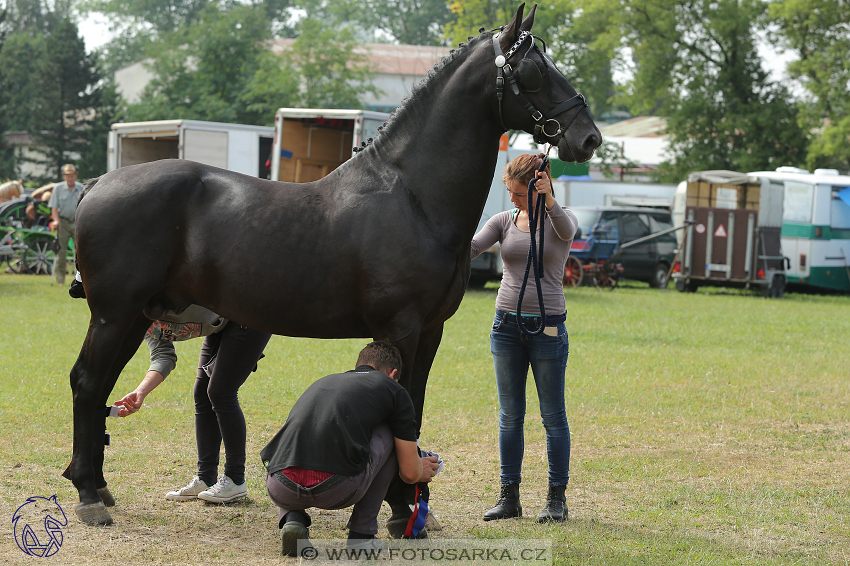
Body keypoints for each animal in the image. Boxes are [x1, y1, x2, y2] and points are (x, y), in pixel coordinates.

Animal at [66, 3, 600, 528]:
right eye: (534, 71)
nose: (590, 137)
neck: (414, 197)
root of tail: (98, 184)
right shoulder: (401, 329)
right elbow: (402, 406)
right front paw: (401, 505)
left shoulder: (430, 332)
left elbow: (416, 406)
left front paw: (413, 504)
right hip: (114, 315)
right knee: (88, 383)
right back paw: (89, 496)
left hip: (132, 317)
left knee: (99, 387)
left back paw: (99, 487)